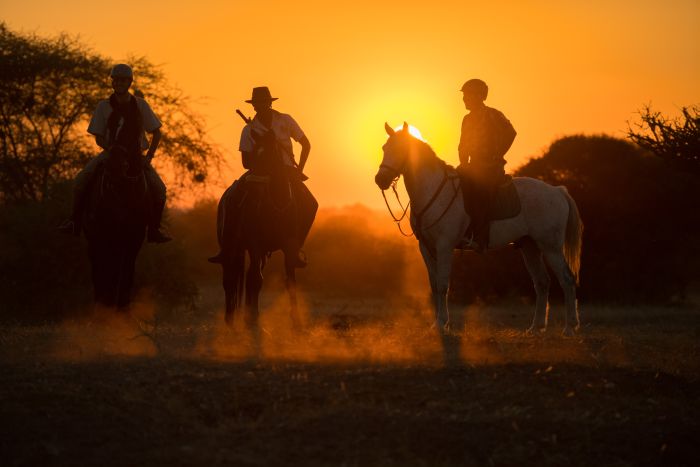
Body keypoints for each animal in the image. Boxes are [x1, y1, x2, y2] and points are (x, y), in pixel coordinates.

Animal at [82, 150, 148, 308]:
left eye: (126, 165)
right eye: (106, 165)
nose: (114, 169)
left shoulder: (134, 238)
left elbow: (125, 272)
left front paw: (121, 308)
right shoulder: (102, 236)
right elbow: (104, 270)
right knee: (99, 268)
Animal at [215, 130, 300, 330]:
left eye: (269, 154)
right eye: (254, 154)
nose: (253, 183)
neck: (278, 203)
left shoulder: (288, 246)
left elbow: (290, 280)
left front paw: (297, 322)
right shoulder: (255, 244)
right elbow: (256, 279)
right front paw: (253, 319)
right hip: (231, 247)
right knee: (230, 278)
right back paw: (230, 320)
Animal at [374, 124, 584, 336]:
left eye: (400, 149)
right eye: (384, 148)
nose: (380, 180)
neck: (432, 190)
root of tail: (557, 191)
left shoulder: (444, 247)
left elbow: (443, 284)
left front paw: (443, 323)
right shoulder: (426, 248)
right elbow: (434, 286)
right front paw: (436, 324)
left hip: (550, 247)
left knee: (566, 279)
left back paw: (569, 327)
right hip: (529, 246)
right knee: (542, 282)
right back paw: (535, 328)